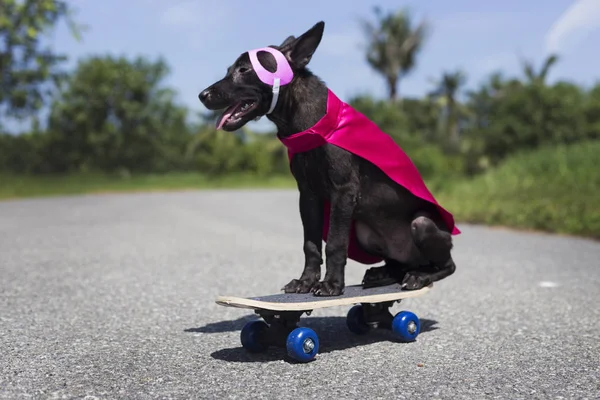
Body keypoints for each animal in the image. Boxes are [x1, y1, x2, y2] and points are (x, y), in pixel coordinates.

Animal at [198, 21, 460, 296]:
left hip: (422, 224)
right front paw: (305, 281)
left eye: (244, 69)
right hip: (365, 233)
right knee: (399, 264)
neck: (313, 127)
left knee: (446, 265)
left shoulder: (343, 193)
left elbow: (334, 243)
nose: (202, 95)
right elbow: (310, 244)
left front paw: (332, 284)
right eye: (229, 69)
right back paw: (384, 273)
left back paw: (419, 276)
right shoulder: (308, 196)